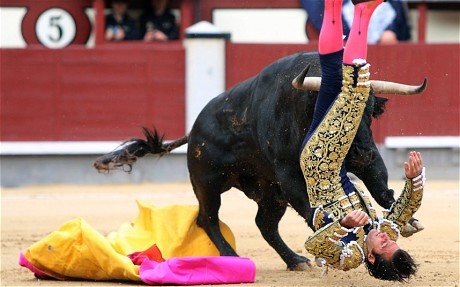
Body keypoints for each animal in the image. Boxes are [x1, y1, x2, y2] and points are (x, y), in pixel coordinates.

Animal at [94, 52, 428, 272]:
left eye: (371, 113)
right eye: (340, 110)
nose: (360, 153)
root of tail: (194, 129)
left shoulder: (368, 158)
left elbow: (380, 184)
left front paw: (407, 219)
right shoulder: (288, 171)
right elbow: (310, 206)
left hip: (269, 193)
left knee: (264, 224)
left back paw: (295, 261)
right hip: (208, 183)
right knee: (207, 218)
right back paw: (232, 257)